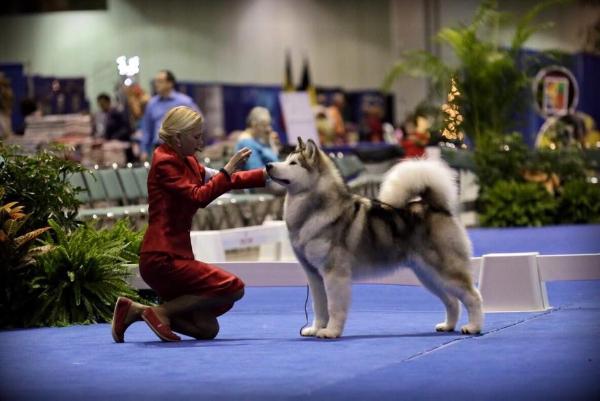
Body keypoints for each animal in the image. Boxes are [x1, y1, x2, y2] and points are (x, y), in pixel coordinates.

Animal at [266, 138, 482, 338]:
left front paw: (331, 331)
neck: (313, 211)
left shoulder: (334, 273)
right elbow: (319, 307)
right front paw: (316, 328)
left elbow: (334, 307)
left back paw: (473, 327)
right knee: (452, 301)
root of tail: (436, 207)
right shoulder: (314, 275)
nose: (268, 166)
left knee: (473, 296)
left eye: (293, 163)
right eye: (285, 159)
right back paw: (448, 326)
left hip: (445, 270)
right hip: (428, 275)